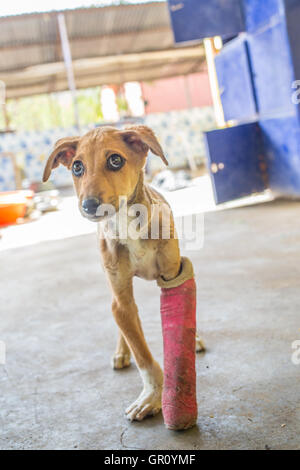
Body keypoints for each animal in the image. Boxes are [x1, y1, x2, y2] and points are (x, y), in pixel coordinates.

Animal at [43, 125, 204, 422]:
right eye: (77, 167)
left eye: (115, 160)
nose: (89, 205)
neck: (127, 224)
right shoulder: (121, 298)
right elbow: (142, 354)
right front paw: (152, 396)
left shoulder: (173, 275)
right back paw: (121, 351)